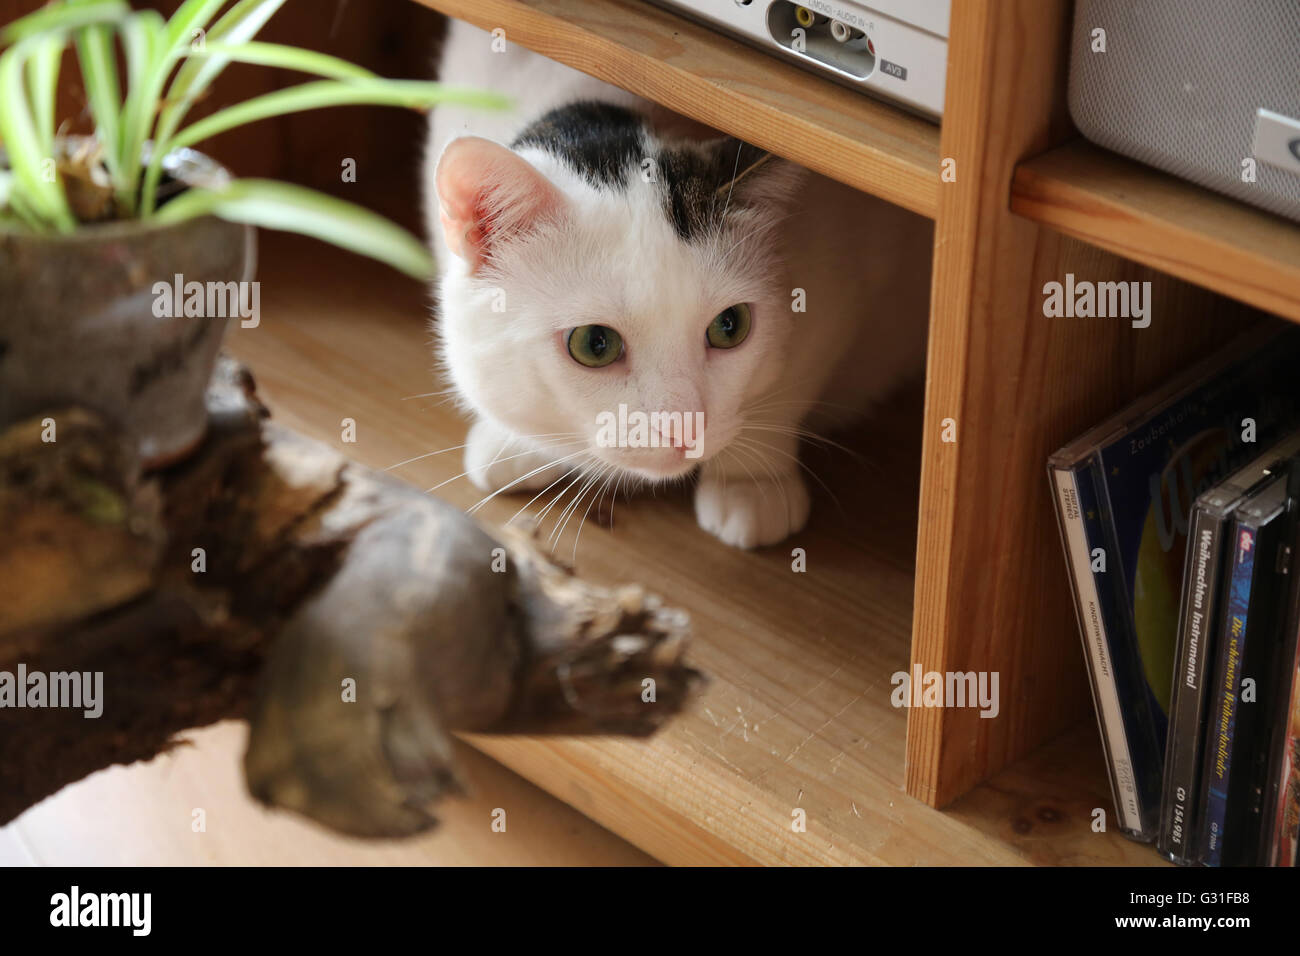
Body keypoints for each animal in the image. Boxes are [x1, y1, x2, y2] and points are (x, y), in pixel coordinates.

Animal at [421, 18, 930, 548]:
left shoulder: (842, 264)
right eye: (594, 343)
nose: (684, 429)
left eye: (729, 327)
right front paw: (515, 441)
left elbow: (789, 384)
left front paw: (752, 480)